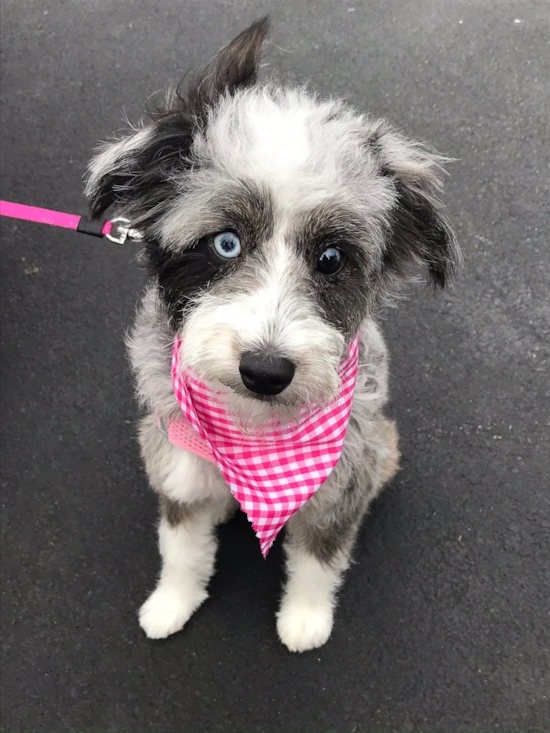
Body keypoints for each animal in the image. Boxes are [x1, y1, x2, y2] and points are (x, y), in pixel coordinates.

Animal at [85, 20, 462, 652]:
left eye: (331, 258)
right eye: (226, 242)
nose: (265, 370)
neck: (255, 437)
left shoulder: (342, 480)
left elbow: (318, 558)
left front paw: (305, 617)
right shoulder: (175, 463)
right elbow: (182, 549)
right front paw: (172, 602)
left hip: (383, 446)